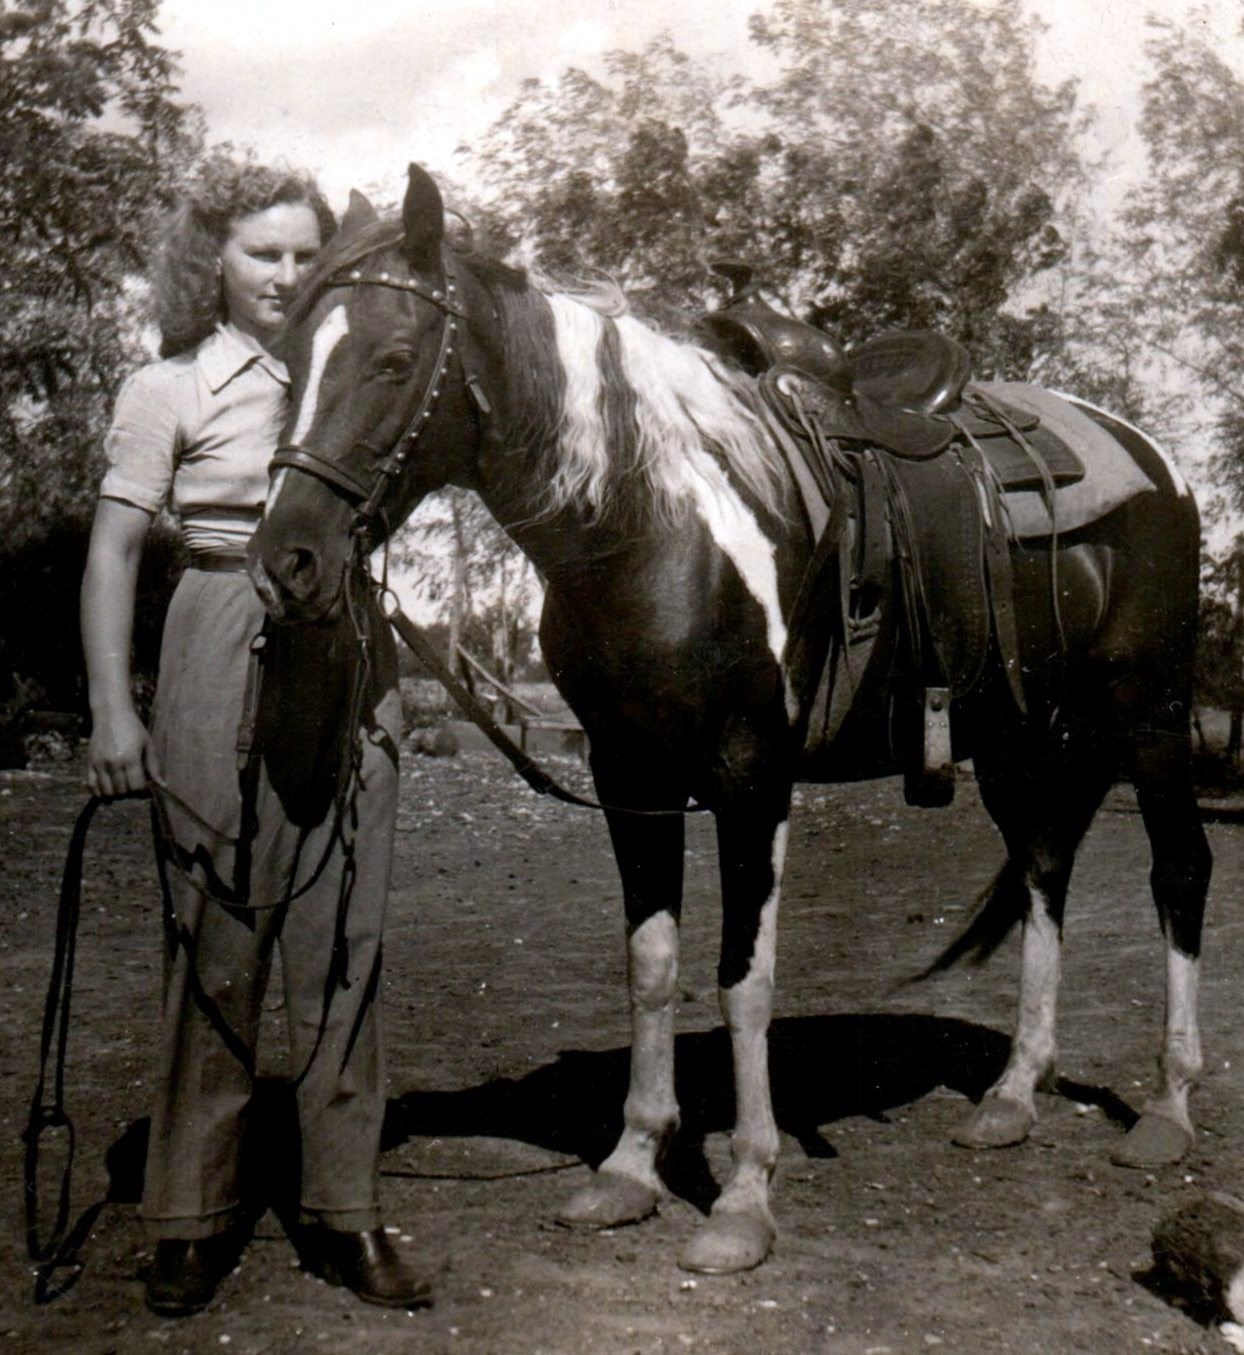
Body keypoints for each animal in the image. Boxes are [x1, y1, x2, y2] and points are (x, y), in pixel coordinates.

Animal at [245, 163, 1219, 1273]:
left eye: (394, 359)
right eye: (288, 367)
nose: (287, 561)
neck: (651, 523)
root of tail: (1154, 460)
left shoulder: (752, 774)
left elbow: (742, 976)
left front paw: (744, 1196)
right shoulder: (630, 773)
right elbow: (652, 962)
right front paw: (629, 1168)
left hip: (1148, 714)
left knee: (1179, 870)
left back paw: (1167, 1109)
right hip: (1018, 736)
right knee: (1047, 869)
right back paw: (1012, 1094)